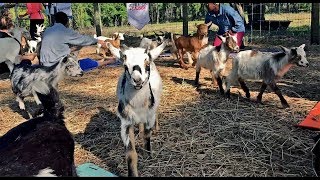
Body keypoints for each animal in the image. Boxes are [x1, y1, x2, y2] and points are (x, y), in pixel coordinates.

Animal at [107, 39, 168, 177]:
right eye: (125, 66)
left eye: (147, 64)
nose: (137, 80)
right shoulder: (125, 123)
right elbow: (130, 154)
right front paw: (133, 173)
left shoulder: (149, 117)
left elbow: (147, 137)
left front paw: (149, 155)